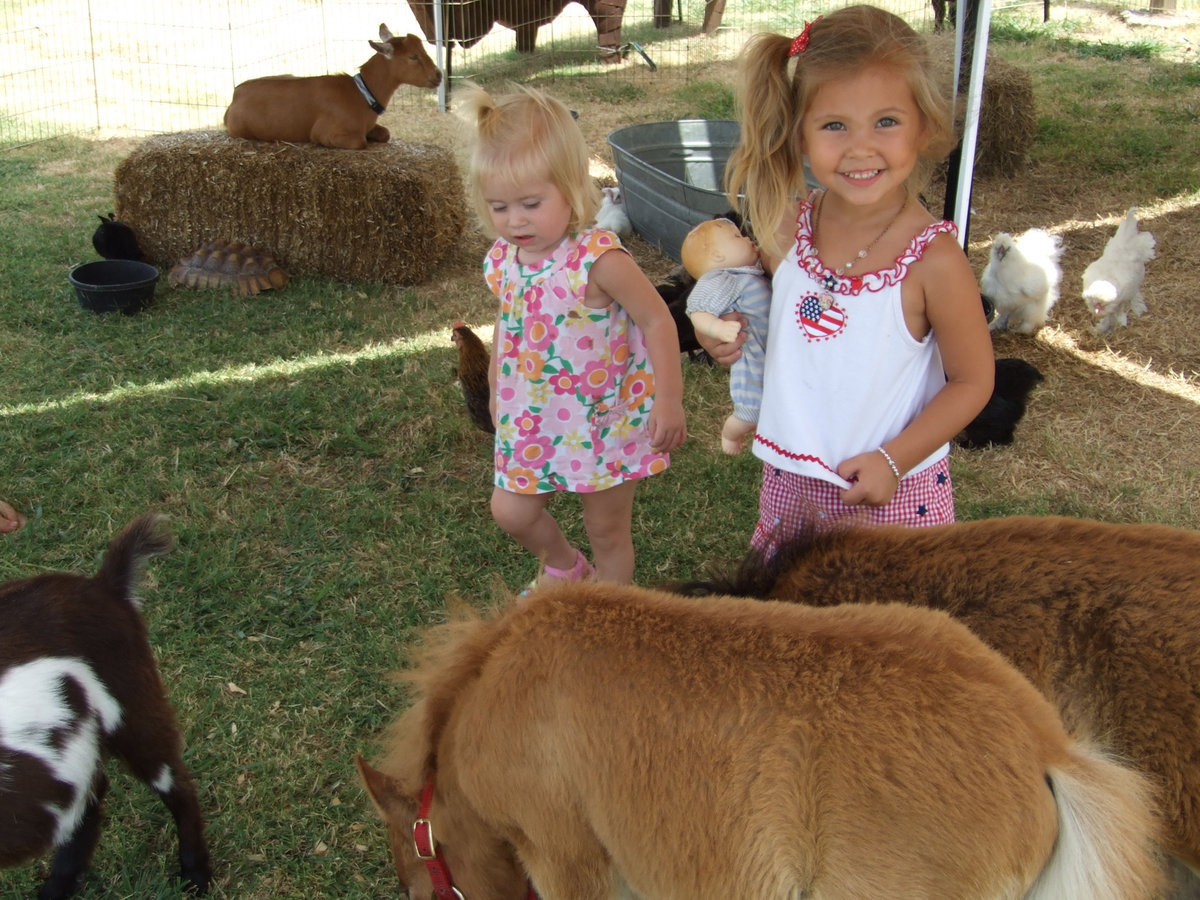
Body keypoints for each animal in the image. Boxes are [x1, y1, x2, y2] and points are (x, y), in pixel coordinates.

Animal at [224, 24, 441, 150]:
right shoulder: (326, 132)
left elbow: (385, 134)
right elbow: (360, 142)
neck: (360, 95)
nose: (438, 75)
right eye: (413, 56)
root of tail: (235, 95)